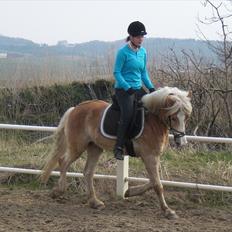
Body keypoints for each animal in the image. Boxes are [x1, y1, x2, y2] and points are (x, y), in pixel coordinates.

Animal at [40, 86, 192, 219]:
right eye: (173, 117)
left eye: (186, 117)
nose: (182, 142)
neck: (153, 121)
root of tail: (75, 108)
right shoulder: (150, 156)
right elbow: (157, 184)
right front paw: (168, 211)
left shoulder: (154, 157)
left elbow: (154, 180)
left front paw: (129, 192)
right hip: (77, 147)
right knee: (63, 162)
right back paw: (58, 191)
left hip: (94, 148)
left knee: (88, 172)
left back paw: (95, 202)